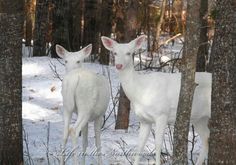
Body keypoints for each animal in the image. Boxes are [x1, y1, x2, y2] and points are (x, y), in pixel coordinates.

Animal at [100, 35, 211, 165]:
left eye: (129, 53)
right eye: (115, 53)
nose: (119, 65)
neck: (141, 92)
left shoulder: (162, 114)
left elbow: (158, 144)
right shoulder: (144, 120)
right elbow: (140, 145)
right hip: (199, 118)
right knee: (206, 137)